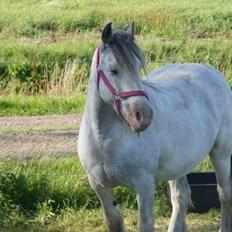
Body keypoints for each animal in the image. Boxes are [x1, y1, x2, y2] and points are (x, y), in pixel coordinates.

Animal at [77, 22, 232, 232]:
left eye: (137, 67)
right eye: (113, 70)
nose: (143, 116)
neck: (104, 139)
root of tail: (213, 72)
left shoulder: (144, 186)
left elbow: (145, 223)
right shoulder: (100, 186)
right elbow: (113, 220)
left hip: (221, 153)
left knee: (224, 194)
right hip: (179, 164)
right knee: (180, 197)